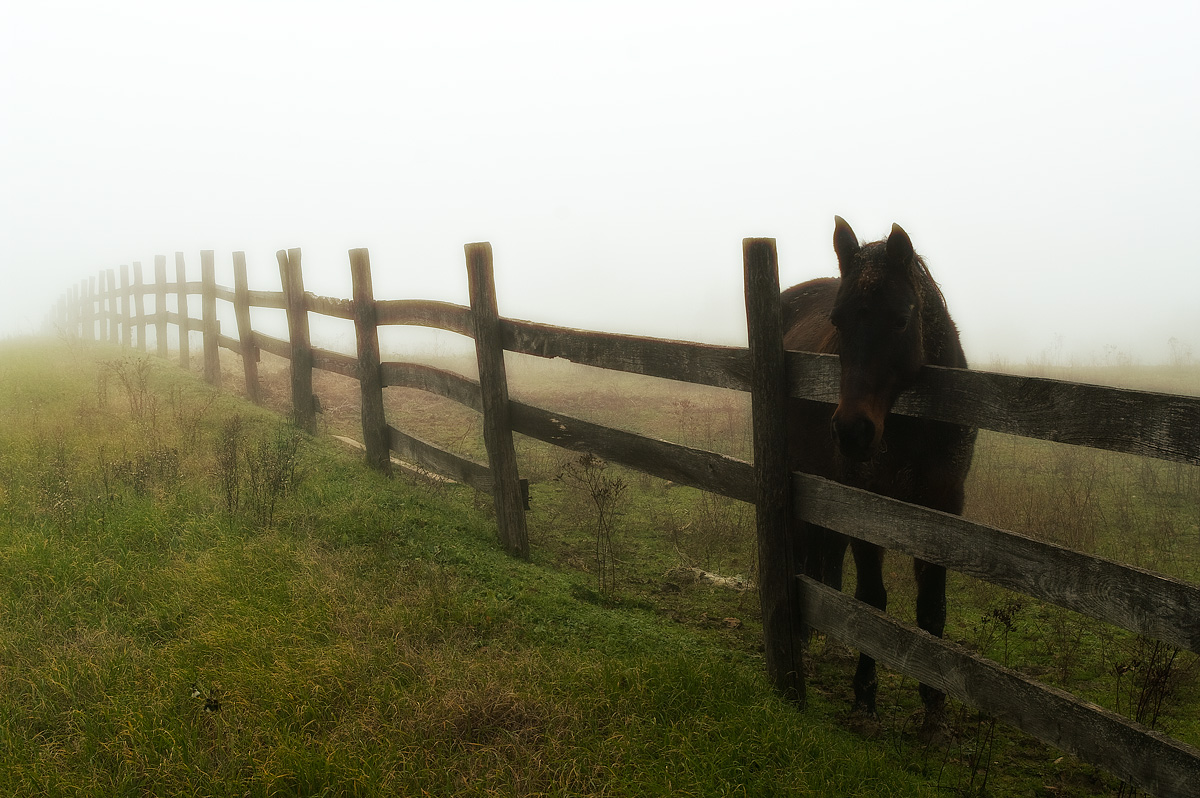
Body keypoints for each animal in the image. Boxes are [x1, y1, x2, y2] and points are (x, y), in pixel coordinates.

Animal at [780, 216, 976, 734]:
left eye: (901, 320)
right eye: (838, 321)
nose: (852, 432)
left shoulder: (943, 505)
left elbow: (933, 608)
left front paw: (934, 708)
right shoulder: (867, 502)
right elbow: (872, 600)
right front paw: (864, 698)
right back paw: (804, 634)